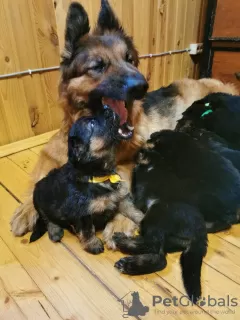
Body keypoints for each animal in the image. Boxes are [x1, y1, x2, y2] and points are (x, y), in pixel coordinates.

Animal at [29, 107, 142, 255]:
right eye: (92, 124)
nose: (107, 108)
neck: (97, 175)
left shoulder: (121, 197)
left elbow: (133, 210)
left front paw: (144, 219)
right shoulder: (83, 214)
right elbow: (88, 230)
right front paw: (93, 245)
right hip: (40, 201)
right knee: (47, 218)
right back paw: (55, 231)